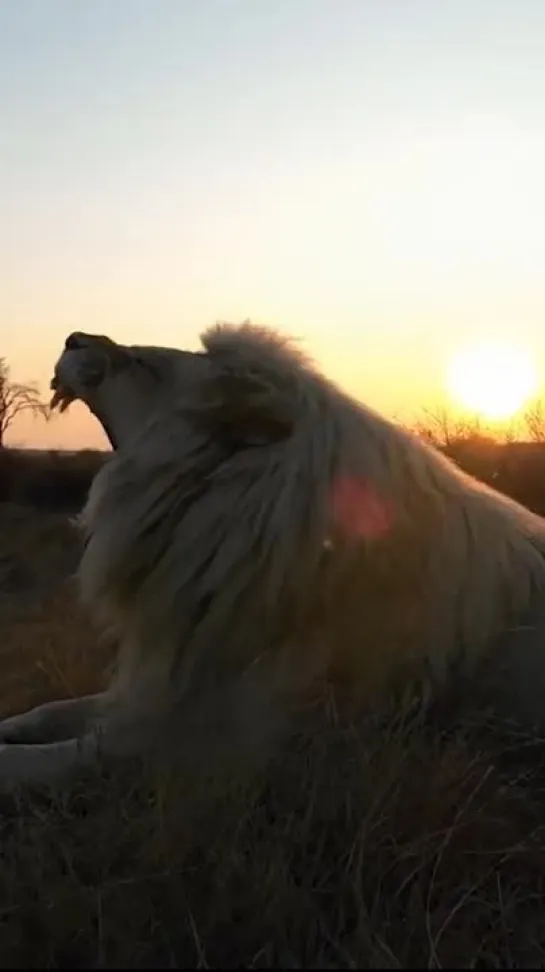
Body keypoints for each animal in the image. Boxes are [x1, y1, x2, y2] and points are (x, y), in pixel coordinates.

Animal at [1, 320, 544, 788]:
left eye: (144, 364)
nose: (74, 338)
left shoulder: (199, 741)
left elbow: (45, 760)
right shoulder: (155, 689)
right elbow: (47, 710)